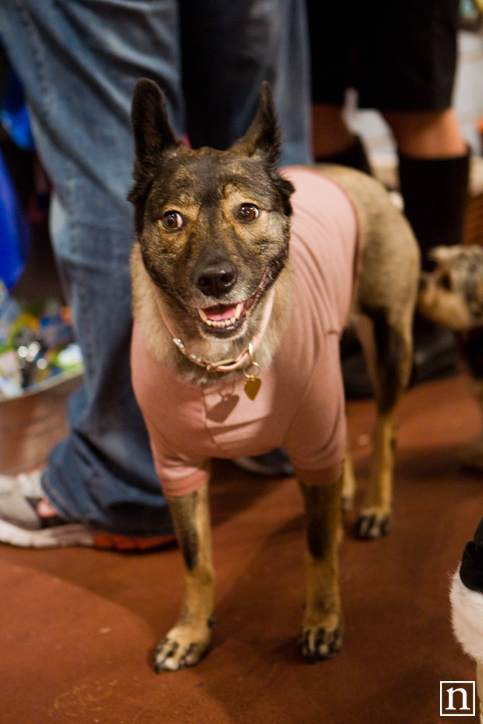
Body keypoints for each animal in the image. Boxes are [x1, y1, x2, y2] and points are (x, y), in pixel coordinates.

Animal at [127, 79, 420, 672]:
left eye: (247, 211)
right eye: (171, 220)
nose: (216, 279)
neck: (220, 362)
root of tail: (351, 174)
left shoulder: (315, 436)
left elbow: (319, 548)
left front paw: (323, 621)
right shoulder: (177, 469)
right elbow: (196, 561)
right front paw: (191, 631)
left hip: (389, 342)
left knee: (384, 427)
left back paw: (376, 504)